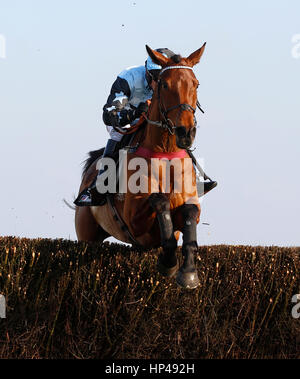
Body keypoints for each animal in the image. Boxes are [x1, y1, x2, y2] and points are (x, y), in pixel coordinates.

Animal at [75, 43, 206, 288]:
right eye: (165, 84)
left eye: (195, 83)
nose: (185, 132)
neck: (165, 153)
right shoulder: (135, 220)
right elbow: (160, 200)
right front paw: (168, 263)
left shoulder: (188, 205)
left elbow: (190, 213)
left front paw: (188, 273)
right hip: (86, 236)